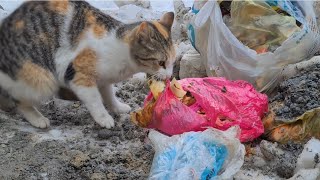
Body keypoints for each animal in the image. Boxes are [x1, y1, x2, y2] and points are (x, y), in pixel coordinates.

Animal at [0, 0, 175, 129]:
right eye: (161, 62)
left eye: (173, 62)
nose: (170, 75)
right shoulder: (78, 75)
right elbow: (95, 100)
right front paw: (104, 118)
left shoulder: (104, 79)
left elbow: (109, 94)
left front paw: (117, 107)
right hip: (41, 78)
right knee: (20, 101)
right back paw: (38, 119)